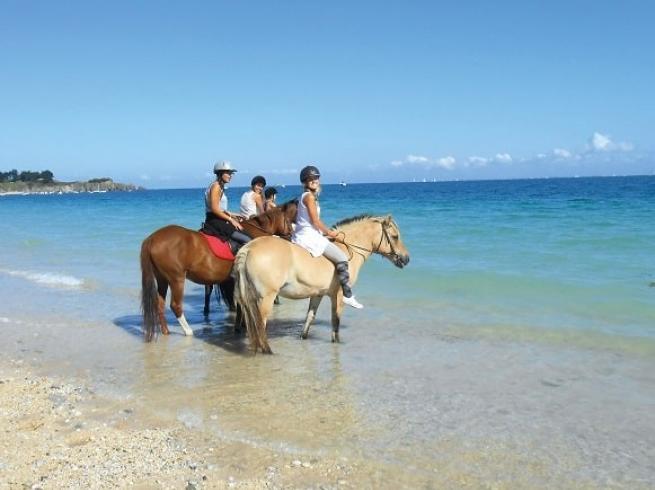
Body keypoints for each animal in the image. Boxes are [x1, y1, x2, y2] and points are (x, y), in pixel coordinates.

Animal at [144, 199, 300, 340]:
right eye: (291, 220)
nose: (290, 238)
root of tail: (152, 238)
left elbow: (240, 303)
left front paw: (240, 326)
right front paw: (242, 326)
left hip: (162, 279)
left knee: (160, 304)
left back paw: (165, 331)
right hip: (176, 279)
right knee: (175, 305)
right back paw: (188, 331)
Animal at [232, 214, 410, 352]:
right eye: (395, 237)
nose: (406, 259)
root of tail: (248, 248)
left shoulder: (317, 294)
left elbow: (309, 319)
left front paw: (303, 337)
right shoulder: (338, 295)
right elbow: (335, 322)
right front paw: (337, 342)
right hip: (266, 298)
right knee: (260, 325)